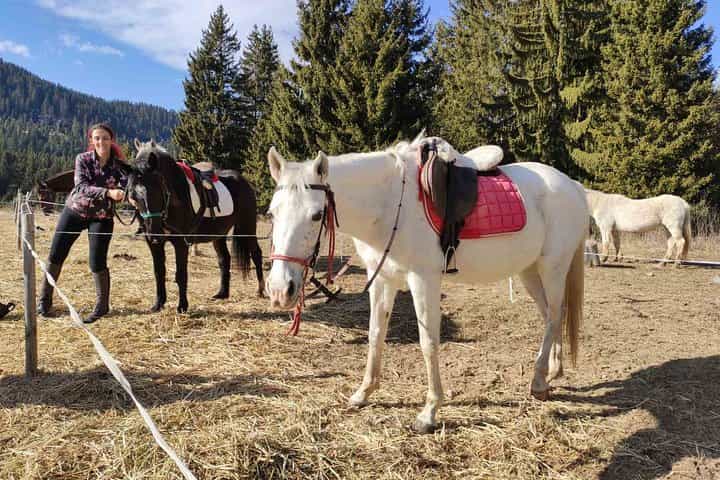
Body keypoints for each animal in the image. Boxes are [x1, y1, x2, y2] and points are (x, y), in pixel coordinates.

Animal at [127, 139, 264, 313]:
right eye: (133, 196)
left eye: (157, 192)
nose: (154, 231)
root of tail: (245, 183)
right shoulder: (153, 244)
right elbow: (159, 272)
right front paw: (158, 304)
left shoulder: (181, 242)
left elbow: (181, 274)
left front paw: (182, 306)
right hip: (218, 234)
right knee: (224, 258)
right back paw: (222, 293)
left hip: (247, 228)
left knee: (256, 254)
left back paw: (260, 290)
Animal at [265, 134, 588, 433]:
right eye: (271, 212)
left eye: (316, 215)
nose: (280, 290)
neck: (389, 204)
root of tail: (573, 186)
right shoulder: (382, 280)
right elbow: (375, 334)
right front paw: (363, 393)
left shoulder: (423, 280)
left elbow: (428, 342)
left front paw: (429, 412)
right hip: (529, 271)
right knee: (552, 315)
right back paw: (552, 372)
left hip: (553, 267)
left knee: (554, 315)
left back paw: (538, 382)